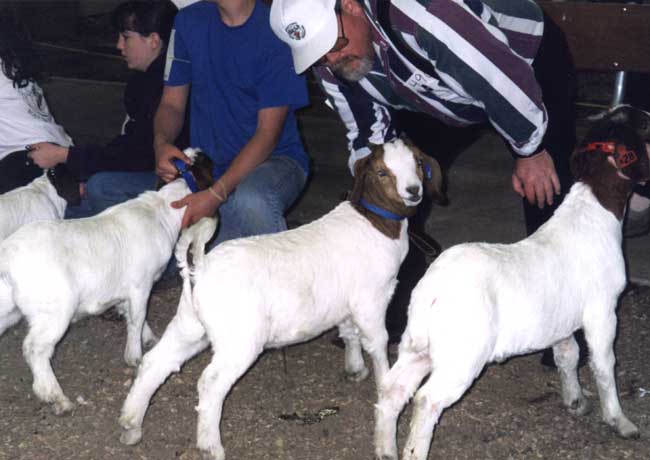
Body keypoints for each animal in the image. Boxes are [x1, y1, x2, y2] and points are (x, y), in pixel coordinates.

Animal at [0, 149, 211, 416]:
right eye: (206, 163)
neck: (161, 211)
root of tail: (7, 256)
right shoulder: (141, 284)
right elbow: (137, 317)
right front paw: (134, 356)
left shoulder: (124, 289)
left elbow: (131, 314)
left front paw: (148, 338)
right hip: (54, 310)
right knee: (35, 349)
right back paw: (56, 398)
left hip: (7, 307)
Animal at [119, 138, 446, 458]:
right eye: (381, 172)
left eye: (417, 163)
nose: (413, 191)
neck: (375, 224)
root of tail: (199, 267)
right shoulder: (372, 299)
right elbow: (377, 343)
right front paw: (382, 378)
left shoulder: (345, 302)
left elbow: (348, 332)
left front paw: (355, 369)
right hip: (240, 338)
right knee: (210, 383)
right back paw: (211, 447)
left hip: (190, 324)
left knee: (155, 362)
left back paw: (131, 425)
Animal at [370, 105, 648, 460]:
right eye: (645, 125)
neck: (594, 212)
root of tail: (431, 289)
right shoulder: (602, 311)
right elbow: (603, 364)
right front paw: (619, 420)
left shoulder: (561, 320)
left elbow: (567, 355)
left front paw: (575, 401)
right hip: (463, 353)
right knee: (427, 399)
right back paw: (414, 451)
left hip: (418, 345)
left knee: (393, 389)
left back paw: (386, 449)